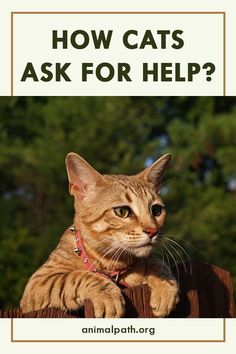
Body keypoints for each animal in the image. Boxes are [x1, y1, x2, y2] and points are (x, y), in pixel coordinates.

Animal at [20, 152, 179, 318]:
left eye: (156, 210)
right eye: (122, 211)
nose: (153, 231)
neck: (115, 266)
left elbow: (157, 263)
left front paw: (166, 285)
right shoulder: (38, 283)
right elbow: (75, 276)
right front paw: (107, 295)